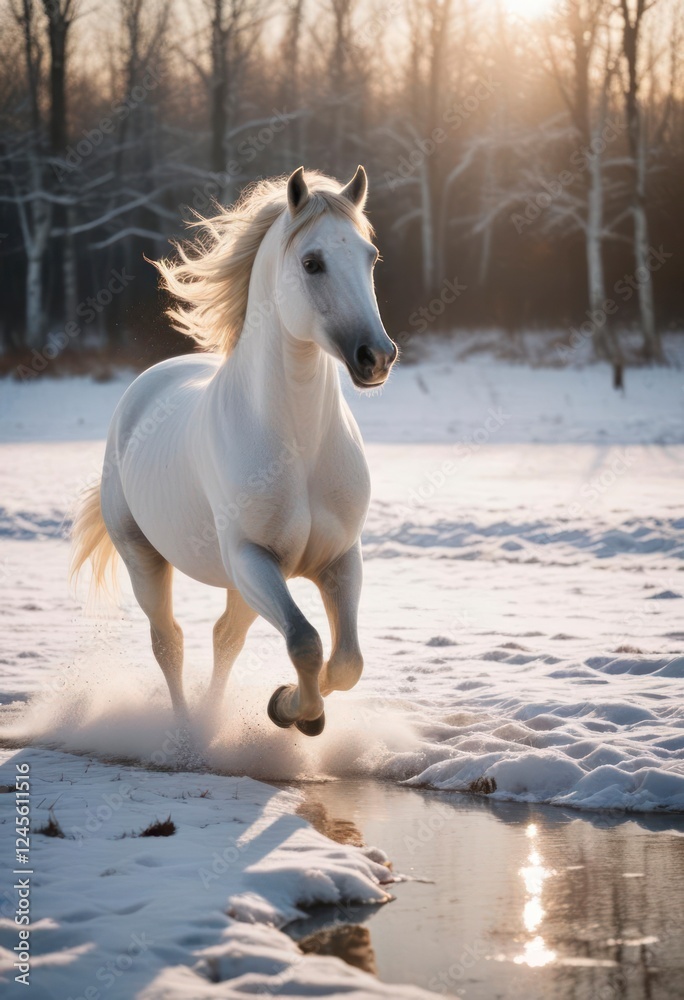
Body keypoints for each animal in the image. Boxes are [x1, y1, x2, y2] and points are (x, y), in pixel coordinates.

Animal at [70, 166, 397, 745]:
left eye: (370, 256)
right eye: (312, 262)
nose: (376, 358)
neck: (298, 448)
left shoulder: (339, 559)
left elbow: (345, 662)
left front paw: (288, 707)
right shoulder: (252, 558)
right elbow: (306, 643)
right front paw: (295, 711)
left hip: (241, 586)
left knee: (225, 638)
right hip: (145, 559)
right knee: (169, 642)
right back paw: (186, 736)